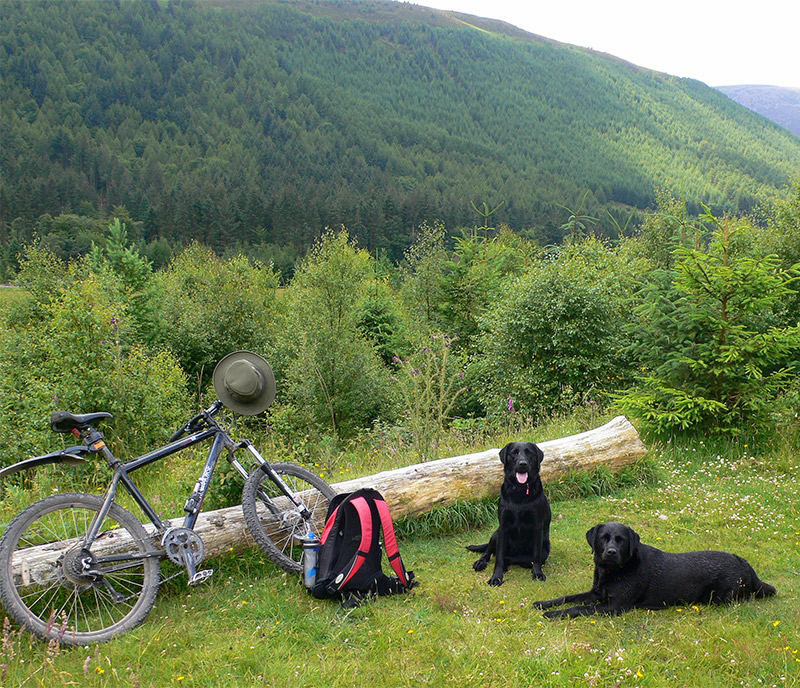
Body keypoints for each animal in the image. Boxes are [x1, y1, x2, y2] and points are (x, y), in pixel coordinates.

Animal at [468, 440, 552, 584]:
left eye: (529, 452)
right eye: (514, 453)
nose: (522, 464)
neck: (519, 491)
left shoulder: (537, 527)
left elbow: (535, 556)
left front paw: (537, 573)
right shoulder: (503, 527)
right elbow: (499, 556)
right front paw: (496, 577)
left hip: (545, 550)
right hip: (495, 534)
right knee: (489, 552)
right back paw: (481, 562)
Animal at [532, 520, 776, 620]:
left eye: (620, 540)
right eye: (603, 538)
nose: (611, 552)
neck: (612, 571)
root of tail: (746, 564)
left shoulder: (613, 606)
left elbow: (577, 608)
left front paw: (553, 614)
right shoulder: (595, 593)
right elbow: (567, 597)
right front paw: (544, 603)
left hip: (720, 597)